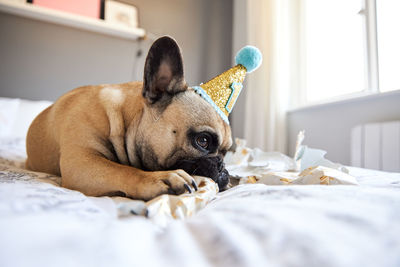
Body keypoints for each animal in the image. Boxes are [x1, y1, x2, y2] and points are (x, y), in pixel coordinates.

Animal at [25, 36, 231, 201]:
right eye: (203, 141)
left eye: (227, 152)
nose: (222, 165)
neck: (125, 120)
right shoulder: (81, 161)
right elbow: (122, 170)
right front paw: (159, 178)